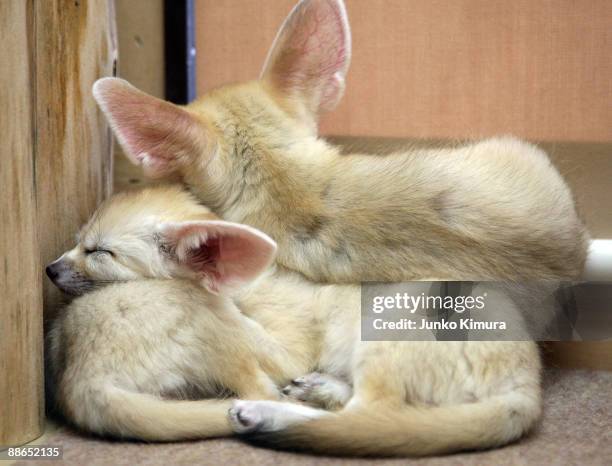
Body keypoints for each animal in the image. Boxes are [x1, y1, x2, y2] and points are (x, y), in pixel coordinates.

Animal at [45, 186, 536, 456]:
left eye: (100, 252)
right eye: (78, 241)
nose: (48, 269)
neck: (245, 282)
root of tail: (526, 384)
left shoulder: (287, 343)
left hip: (385, 329)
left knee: (362, 415)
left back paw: (269, 413)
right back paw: (318, 390)